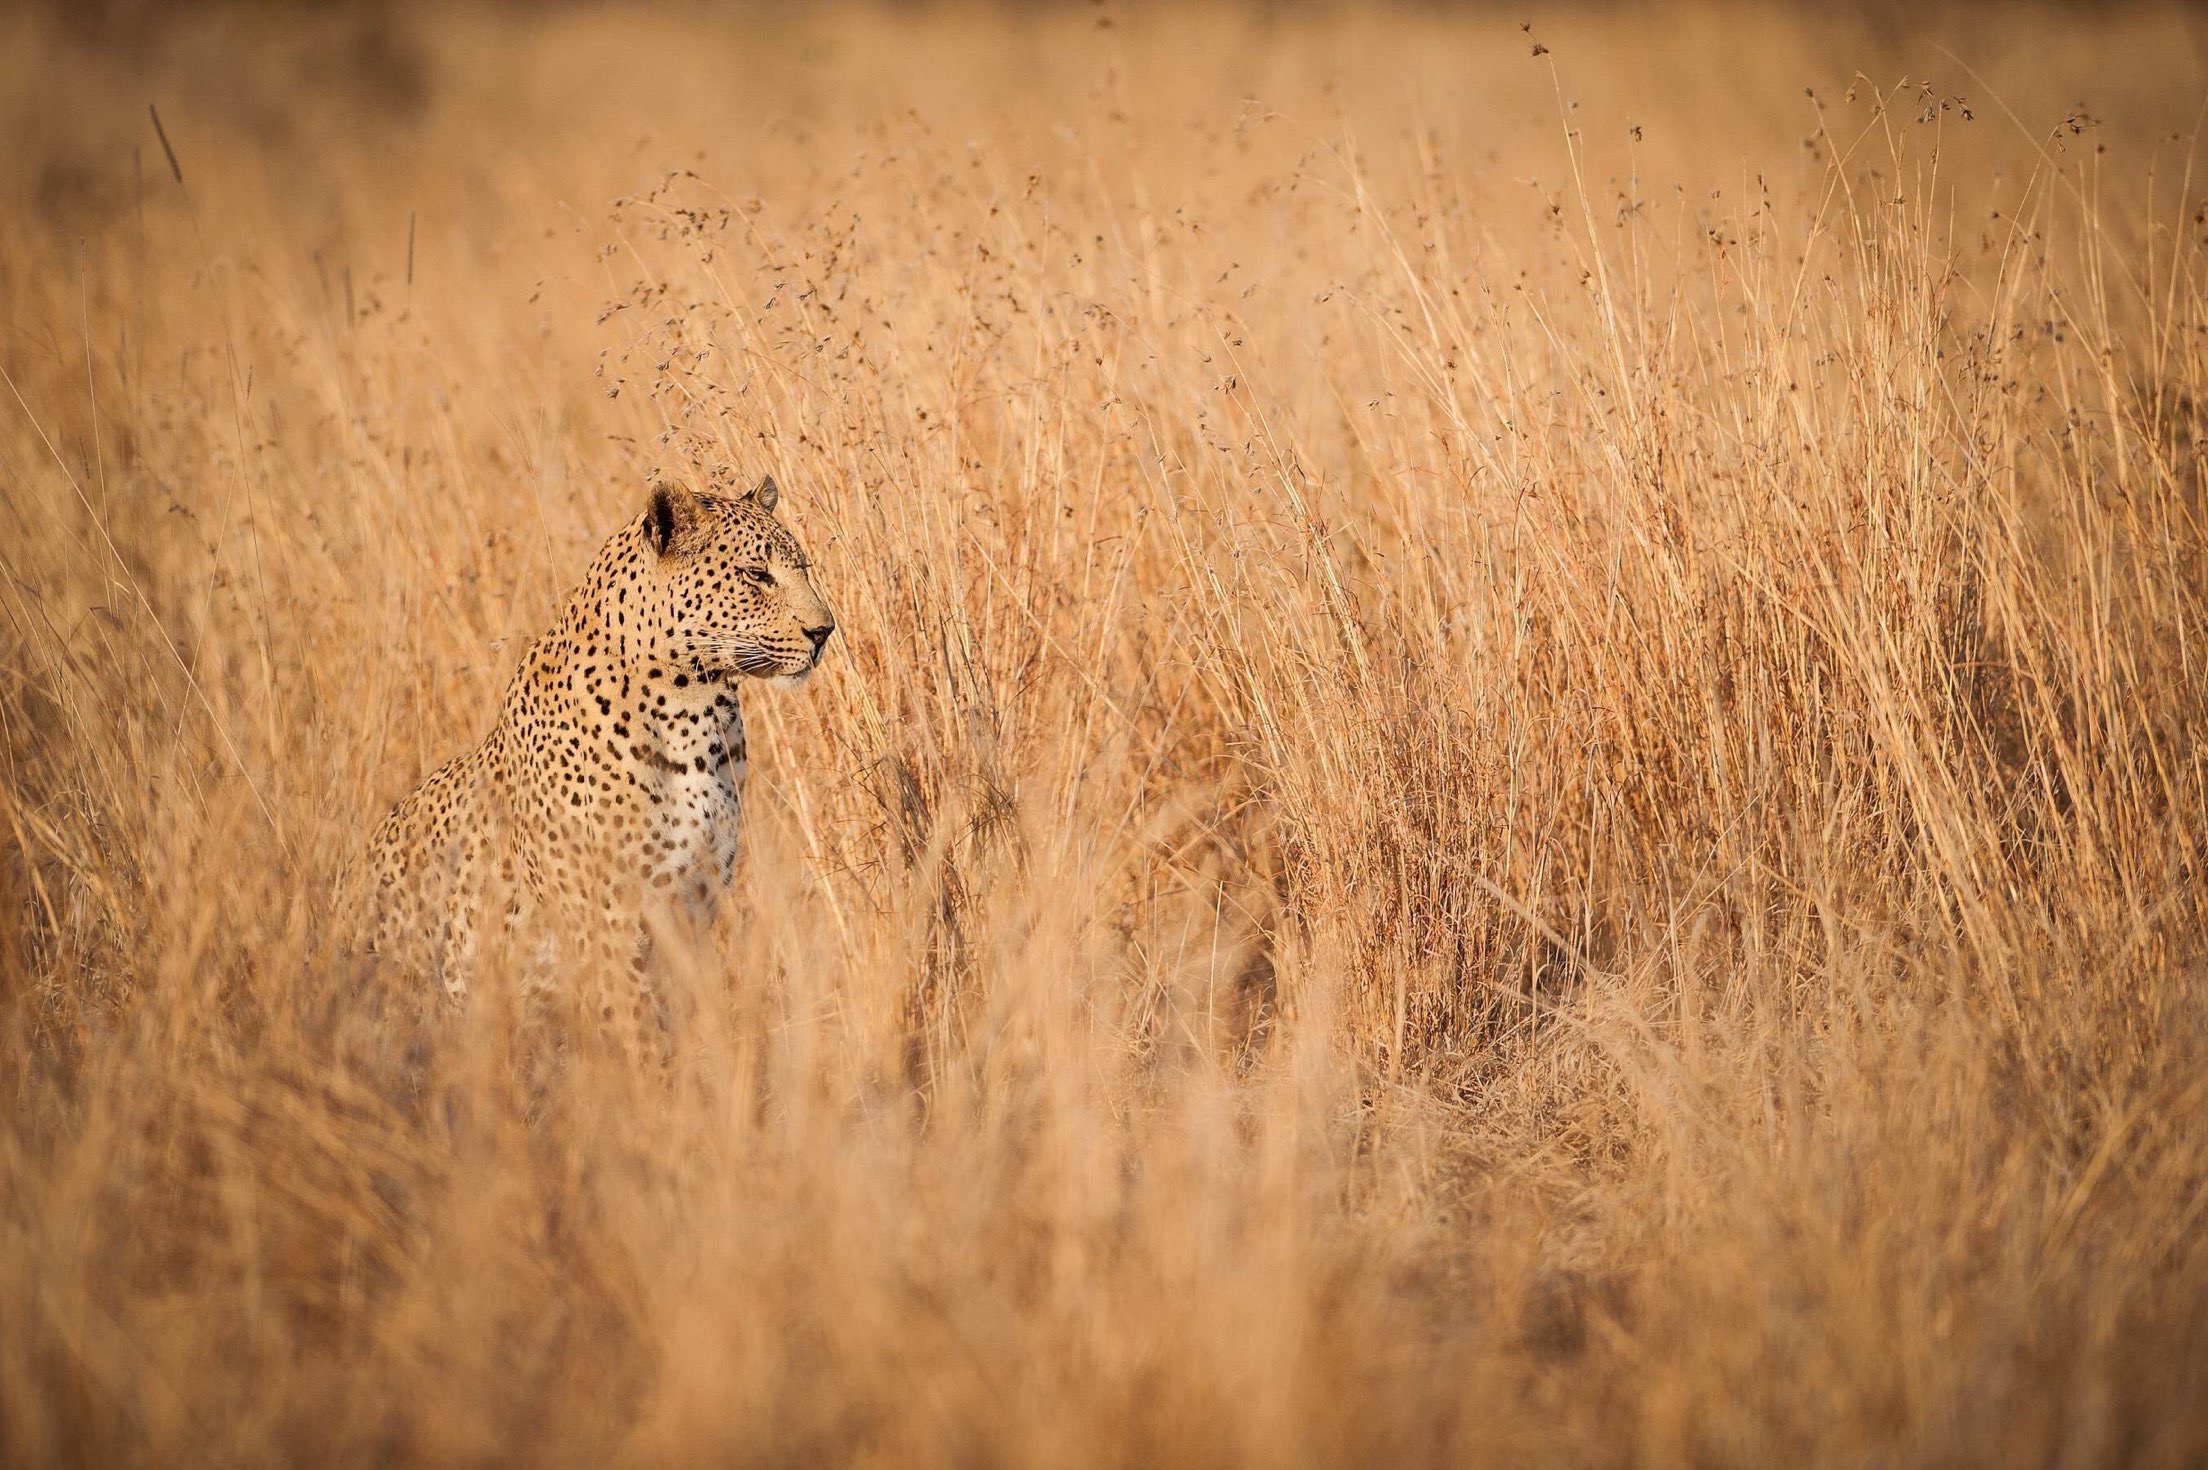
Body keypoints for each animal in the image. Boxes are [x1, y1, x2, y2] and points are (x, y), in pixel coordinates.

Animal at [353, 470, 834, 997]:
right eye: (756, 575)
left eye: (804, 568)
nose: (824, 631)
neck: (696, 716)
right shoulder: (608, 924)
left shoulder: (695, 908)